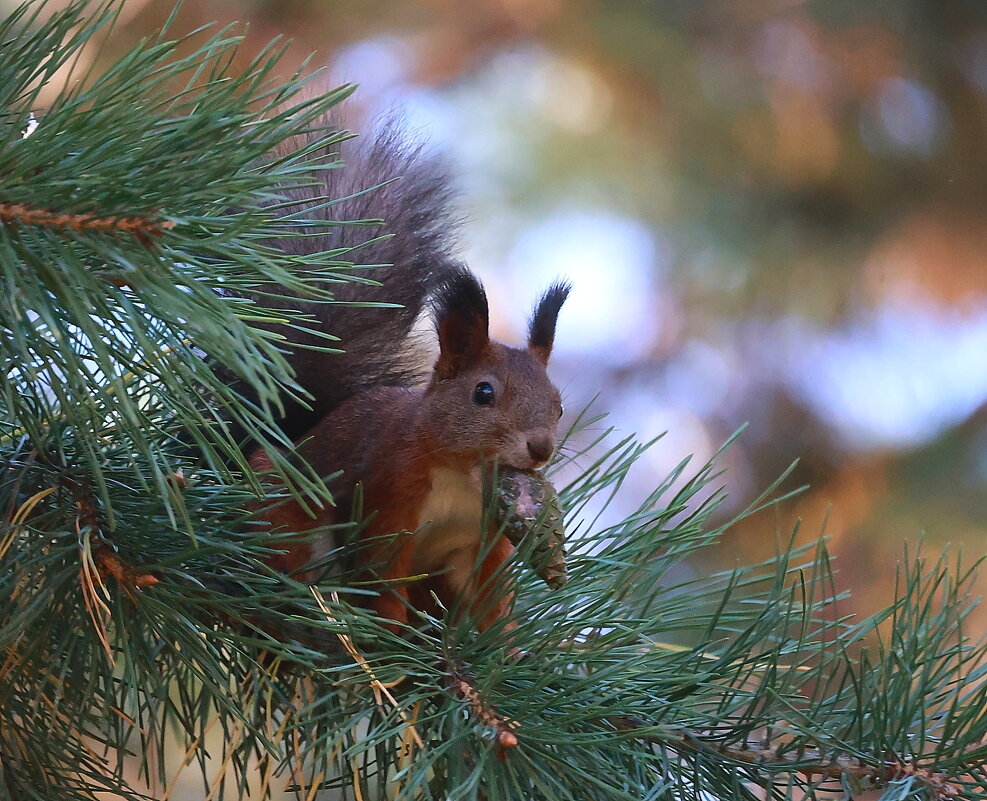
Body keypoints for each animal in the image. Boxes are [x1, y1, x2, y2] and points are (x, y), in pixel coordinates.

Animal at [245, 119, 572, 632]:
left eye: (558, 405)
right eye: (483, 393)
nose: (540, 448)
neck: (462, 479)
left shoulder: (483, 540)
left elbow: (490, 597)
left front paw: (505, 644)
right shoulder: (389, 495)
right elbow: (383, 579)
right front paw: (389, 634)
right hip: (287, 508)